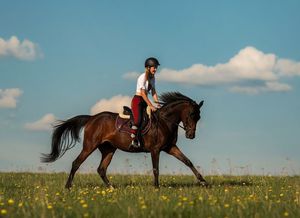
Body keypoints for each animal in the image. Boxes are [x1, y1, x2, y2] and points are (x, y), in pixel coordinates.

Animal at [41, 91, 207, 188]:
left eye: (198, 117)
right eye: (191, 114)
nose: (191, 135)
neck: (165, 122)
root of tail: (91, 118)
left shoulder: (170, 148)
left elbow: (187, 162)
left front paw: (203, 181)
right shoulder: (155, 150)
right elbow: (156, 169)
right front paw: (156, 187)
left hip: (108, 149)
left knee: (101, 169)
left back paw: (111, 188)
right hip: (89, 146)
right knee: (76, 163)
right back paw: (68, 187)